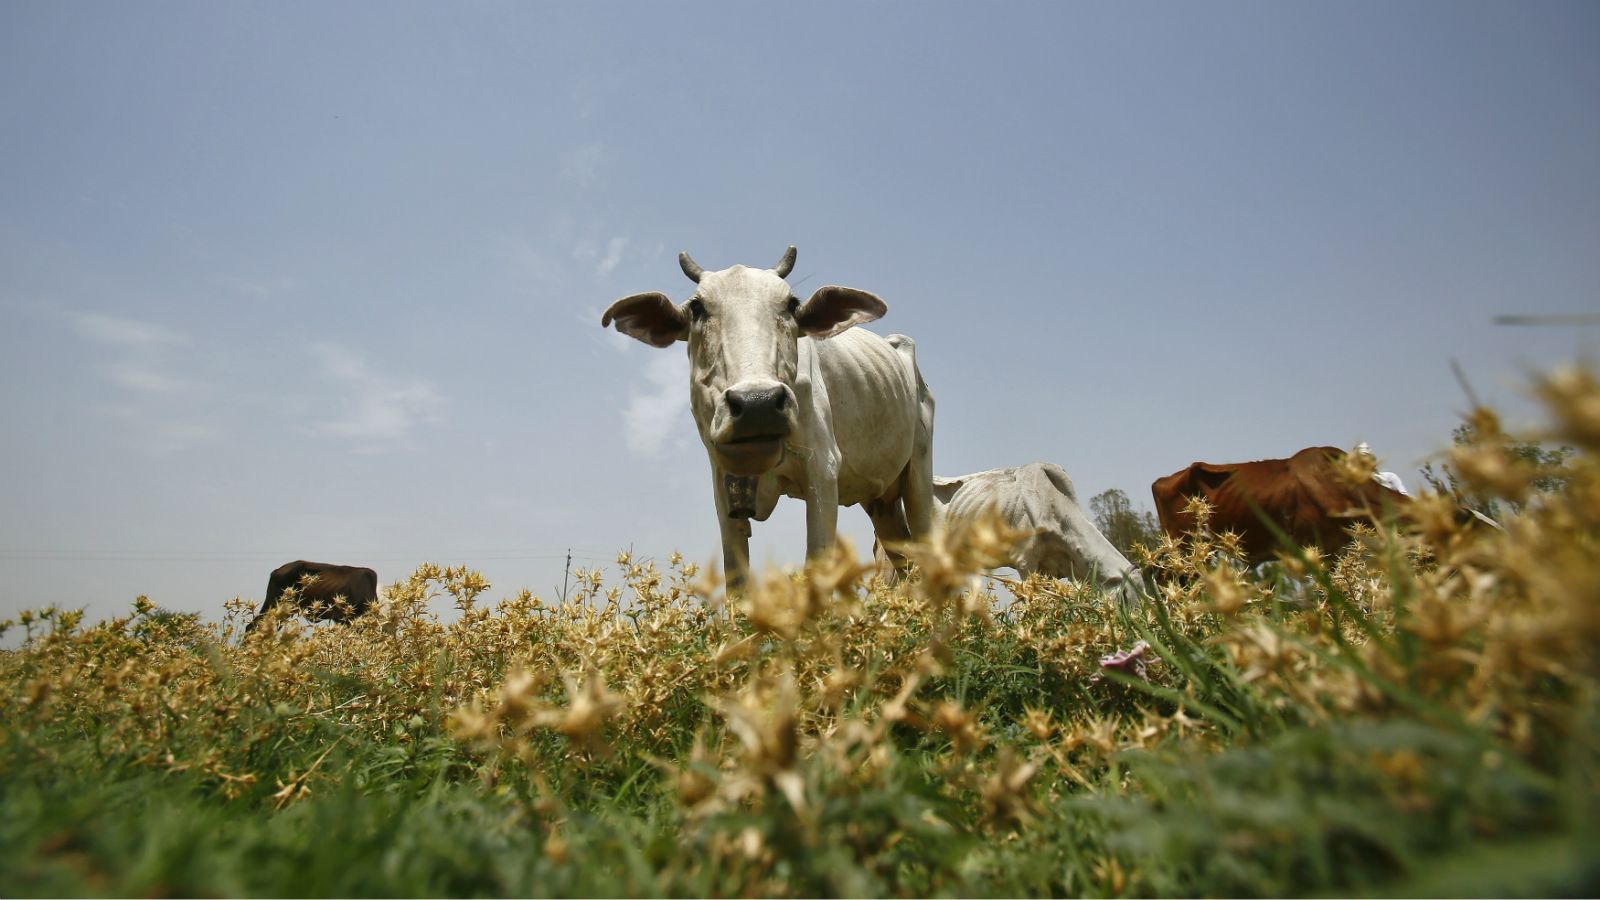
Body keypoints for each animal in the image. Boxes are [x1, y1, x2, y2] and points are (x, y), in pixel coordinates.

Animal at [601, 246, 935, 589]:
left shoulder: (823, 469)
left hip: (919, 474)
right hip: (882, 500)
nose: (757, 405)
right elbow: (736, 580)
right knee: (905, 558)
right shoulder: (723, 484)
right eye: (697, 308)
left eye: (791, 305)